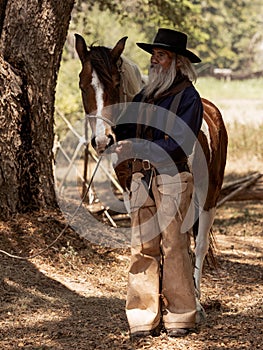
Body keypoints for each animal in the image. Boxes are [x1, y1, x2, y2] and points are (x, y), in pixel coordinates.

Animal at [75, 32, 229, 320]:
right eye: (82, 84)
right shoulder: (130, 192)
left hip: (208, 194)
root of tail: (212, 111)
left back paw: (197, 301)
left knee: (200, 244)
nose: (102, 140)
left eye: (115, 83)